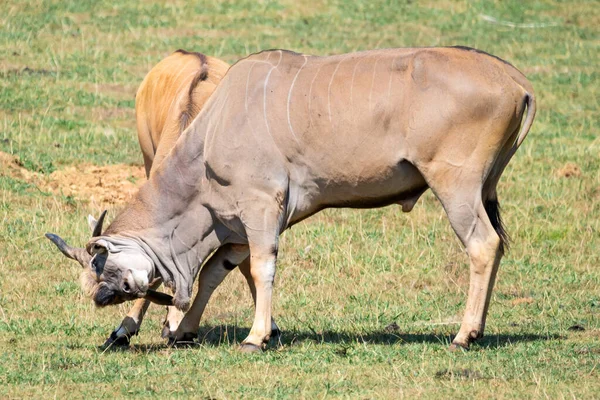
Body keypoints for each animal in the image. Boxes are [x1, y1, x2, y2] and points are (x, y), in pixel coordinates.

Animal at [47, 47, 536, 350]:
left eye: (103, 263)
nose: (102, 298)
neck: (213, 129)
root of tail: (515, 80)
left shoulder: (261, 209)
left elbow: (261, 269)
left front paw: (255, 337)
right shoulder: (237, 226)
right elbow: (213, 273)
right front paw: (185, 331)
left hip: (456, 187)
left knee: (483, 245)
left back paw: (465, 334)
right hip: (483, 188)